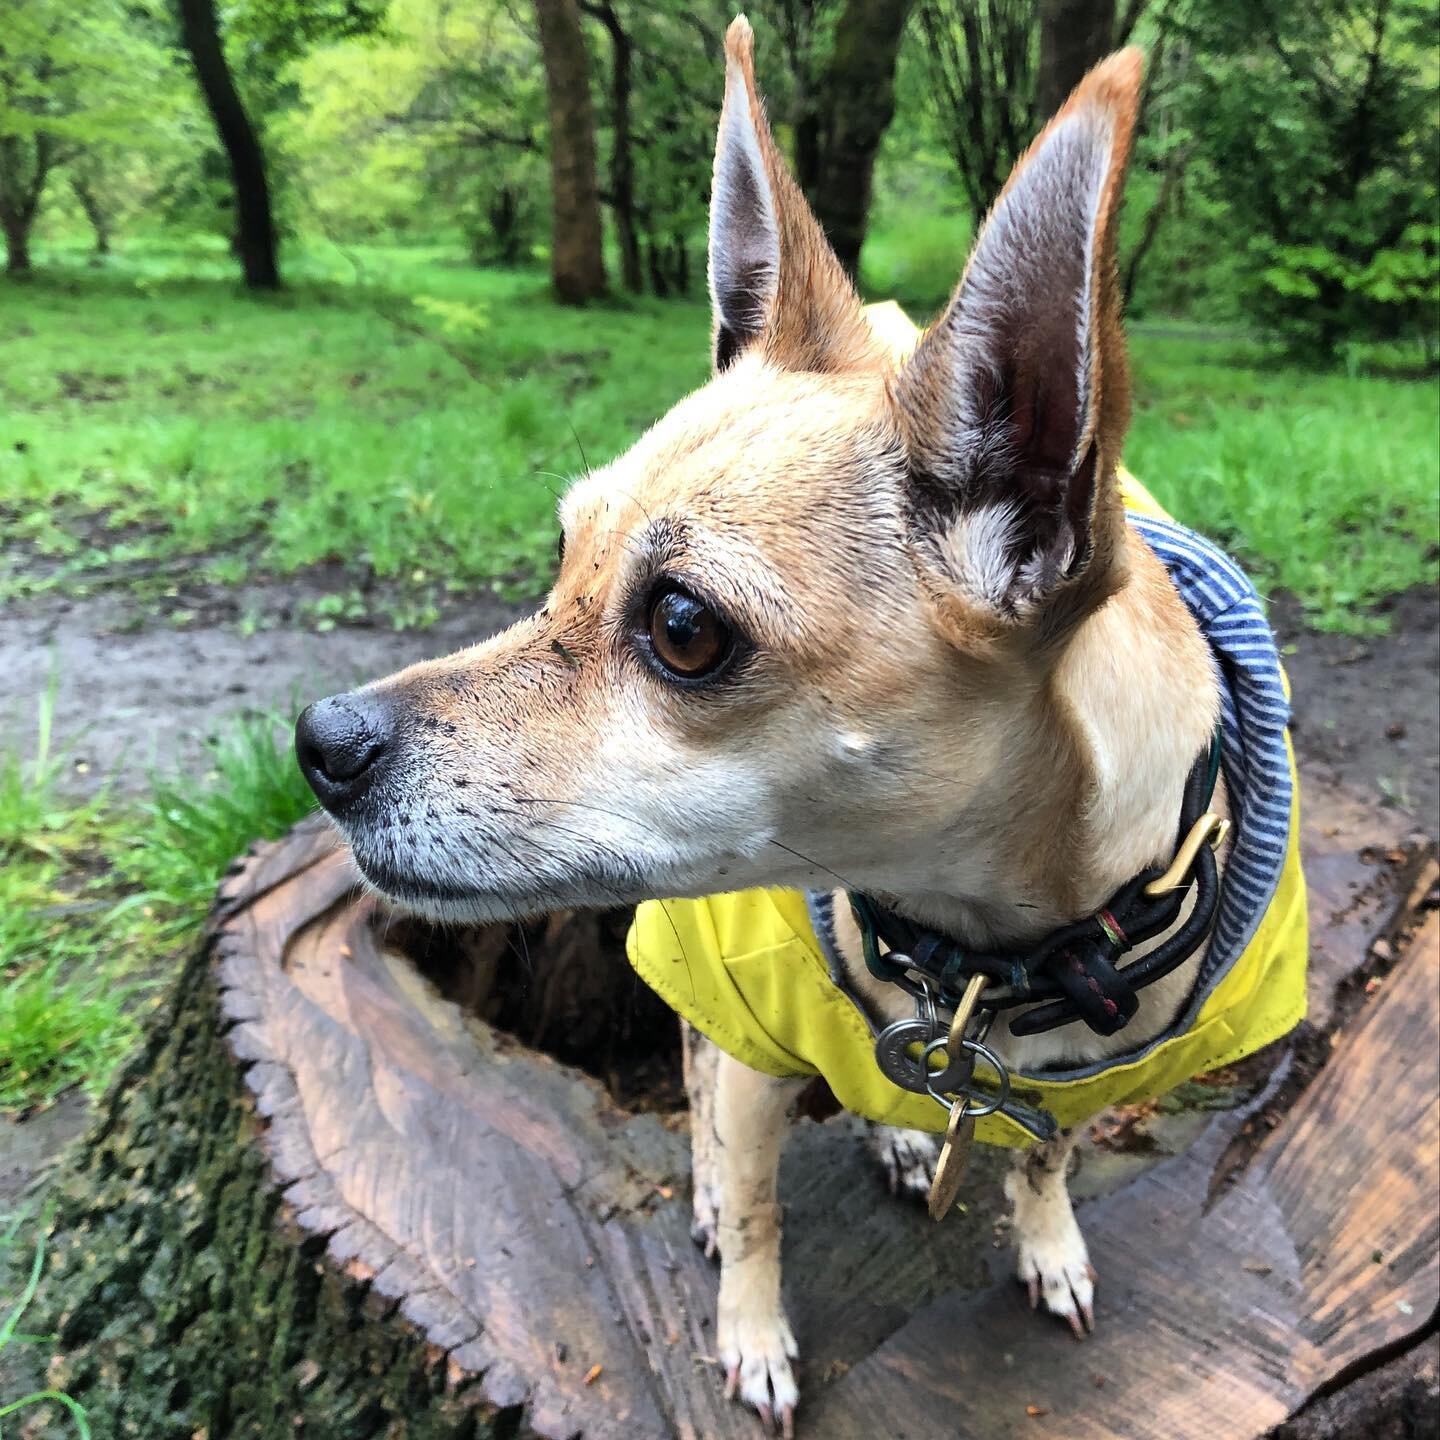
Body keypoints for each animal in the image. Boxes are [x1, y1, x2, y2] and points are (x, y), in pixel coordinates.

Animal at [295, 16, 1249, 1434]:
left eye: (683, 626)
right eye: (561, 559)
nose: (321, 742)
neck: (983, 957)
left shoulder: (1088, 1079)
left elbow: (1044, 1160)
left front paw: (1050, 1243)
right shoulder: (747, 1042)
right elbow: (754, 1206)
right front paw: (748, 1330)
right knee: (701, 1082)